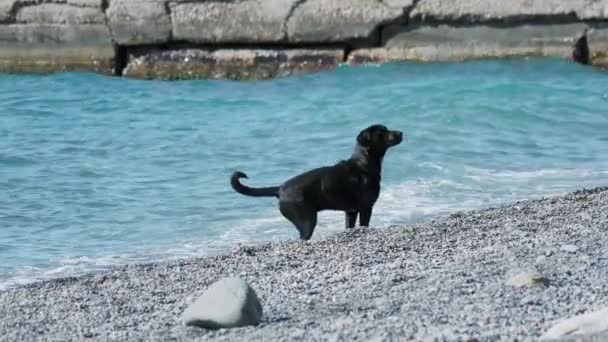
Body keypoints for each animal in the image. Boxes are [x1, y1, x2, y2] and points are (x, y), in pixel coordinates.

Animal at [230, 125, 402, 240]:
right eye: (382, 133)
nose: (400, 132)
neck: (363, 164)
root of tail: (280, 188)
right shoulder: (366, 207)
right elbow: (365, 224)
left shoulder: (351, 211)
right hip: (307, 221)